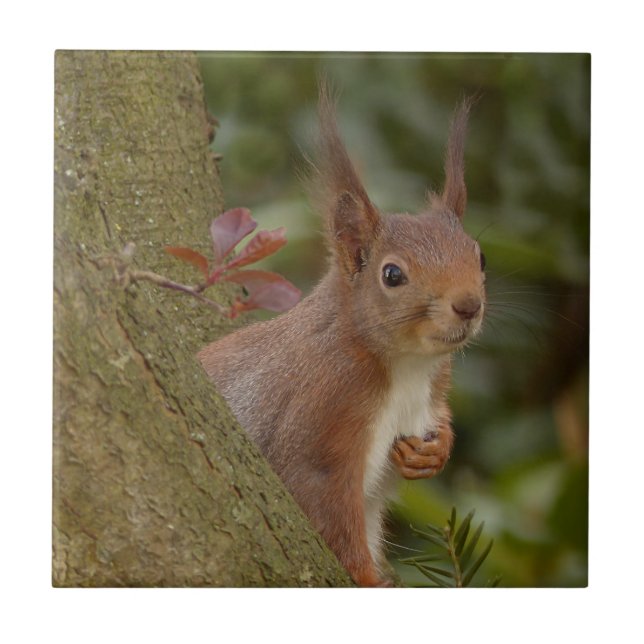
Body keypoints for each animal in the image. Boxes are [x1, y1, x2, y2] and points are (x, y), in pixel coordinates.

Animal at [198, 83, 486, 587]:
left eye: (481, 256)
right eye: (392, 275)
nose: (469, 305)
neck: (408, 366)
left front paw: (434, 452)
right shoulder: (323, 411)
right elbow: (323, 505)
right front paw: (368, 580)